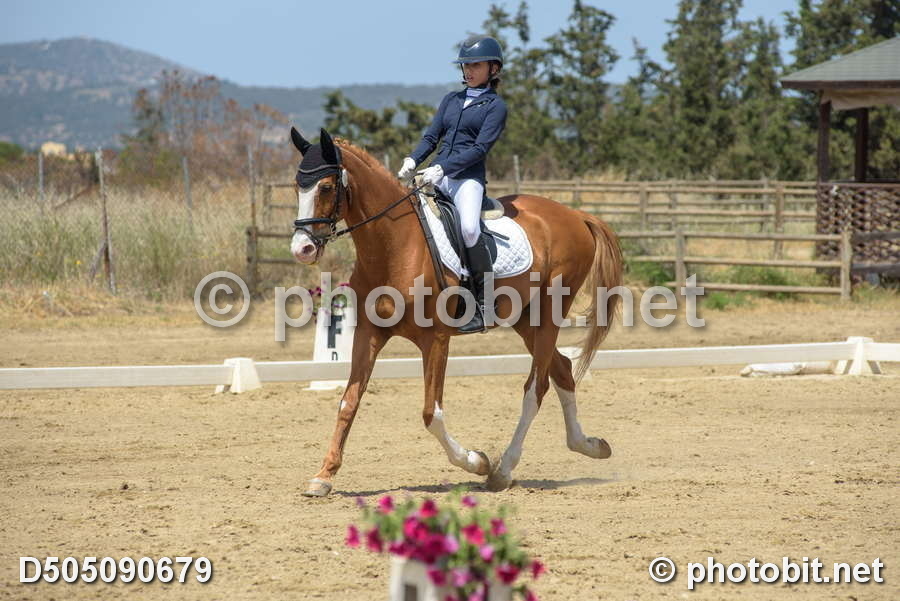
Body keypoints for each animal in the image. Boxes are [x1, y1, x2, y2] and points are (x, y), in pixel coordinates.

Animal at [289, 127, 623, 497]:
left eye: (326, 187)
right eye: (297, 186)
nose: (302, 249)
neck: (395, 245)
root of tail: (575, 215)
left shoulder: (435, 340)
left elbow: (430, 414)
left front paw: (477, 461)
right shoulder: (369, 334)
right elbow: (348, 402)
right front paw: (323, 476)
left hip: (549, 311)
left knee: (535, 388)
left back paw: (503, 470)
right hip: (525, 318)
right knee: (562, 369)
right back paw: (589, 445)